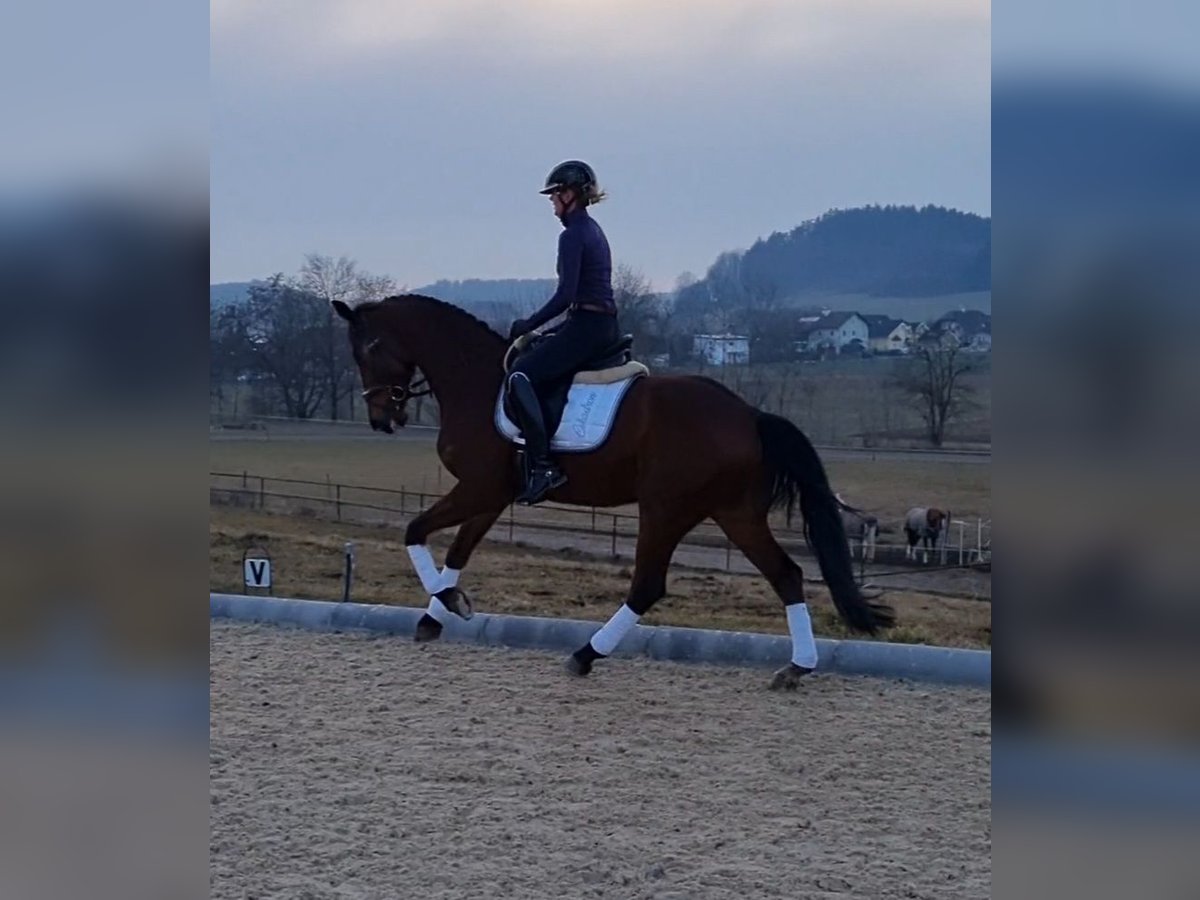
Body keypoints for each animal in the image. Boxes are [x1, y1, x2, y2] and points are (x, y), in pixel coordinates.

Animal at [333, 297, 897, 691]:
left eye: (369, 348)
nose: (382, 418)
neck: (476, 381)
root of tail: (749, 415)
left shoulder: (477, 487)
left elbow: (416, 531)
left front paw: (448, 602)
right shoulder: (492, 495)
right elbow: (456, 550)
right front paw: (437, 613)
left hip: (665, 510)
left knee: (647, 586)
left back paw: (586, 655)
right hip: (734, 512)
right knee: (786, 575)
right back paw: (796, 668)